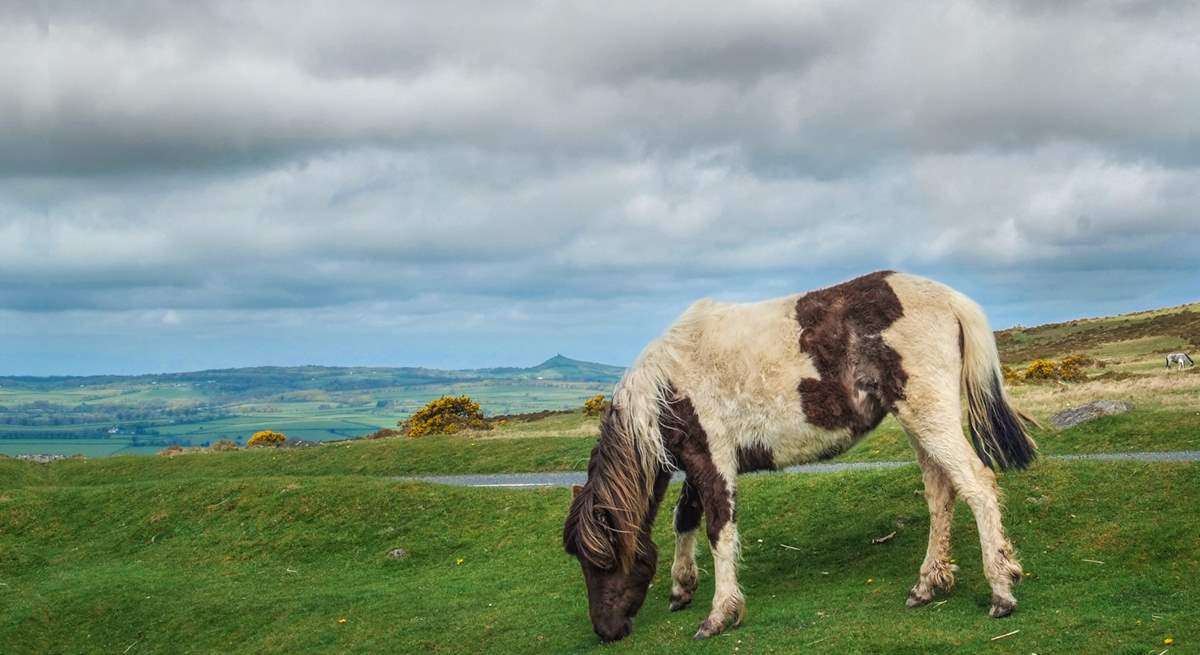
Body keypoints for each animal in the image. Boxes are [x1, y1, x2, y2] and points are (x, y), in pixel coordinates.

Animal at [564, 268, 1041, 638]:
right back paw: (926, 585)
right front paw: (682, 587)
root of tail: (949, 297)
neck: (666, 386)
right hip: (917, 421)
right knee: (941, 492)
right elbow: (686, 518)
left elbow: (719, 531)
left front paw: (719, 615)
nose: (606, 632)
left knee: (976, 484)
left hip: (929, 414)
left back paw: (1001, 591)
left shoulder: (711, 460)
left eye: (602, 562)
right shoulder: (698, 464)